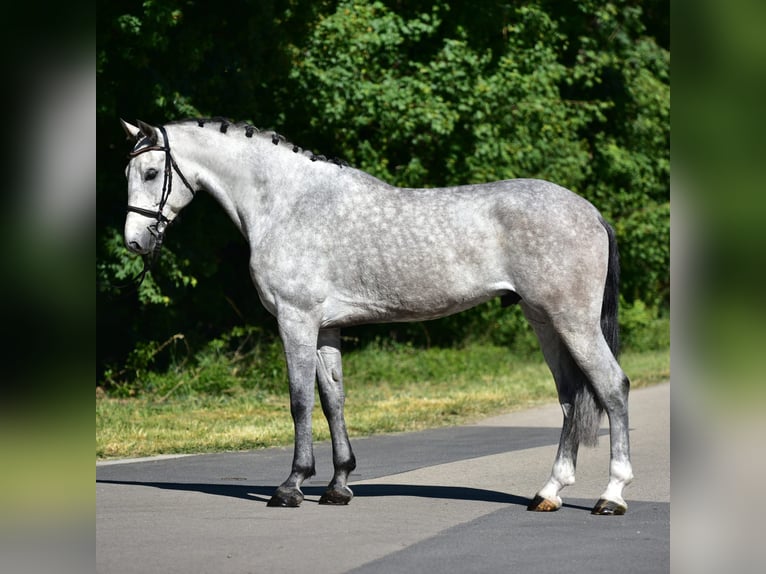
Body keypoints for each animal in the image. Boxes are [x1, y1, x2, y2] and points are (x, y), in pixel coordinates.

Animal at [119, 117, 632, 515]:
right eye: (129, 171)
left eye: (151, 171)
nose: (134, 242)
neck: (289, 202)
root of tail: (590, 212)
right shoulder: (326, 329)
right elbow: (334, 400)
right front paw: (337, 486)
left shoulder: (296, 320)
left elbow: (299, 401)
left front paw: (291, 486)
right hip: (544, 321)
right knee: (569, 399)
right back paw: (549, 492)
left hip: (573, 322)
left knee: (612, 387)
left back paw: (612, 495)